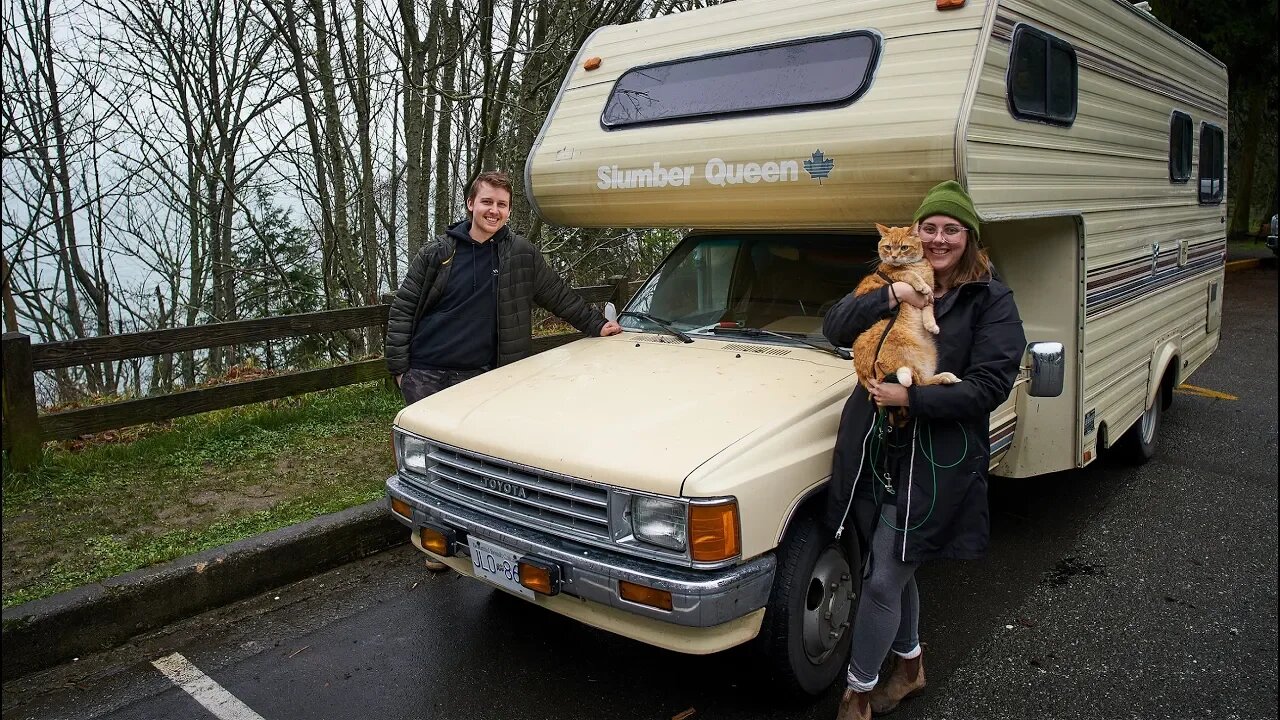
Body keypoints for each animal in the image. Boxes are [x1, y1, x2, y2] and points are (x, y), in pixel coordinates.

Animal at [849, 224, 962, 392]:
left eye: (904, 248)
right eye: (888, 247)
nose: (894, 257)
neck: (916, 265)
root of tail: (867, 377)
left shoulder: (930, 297)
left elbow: (929, 309)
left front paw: (931, 325)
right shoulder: (896, 277)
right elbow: (908, 274)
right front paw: (920, 284)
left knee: (921, 381)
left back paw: (946, 377)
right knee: (917, 382)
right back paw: (946, 377)